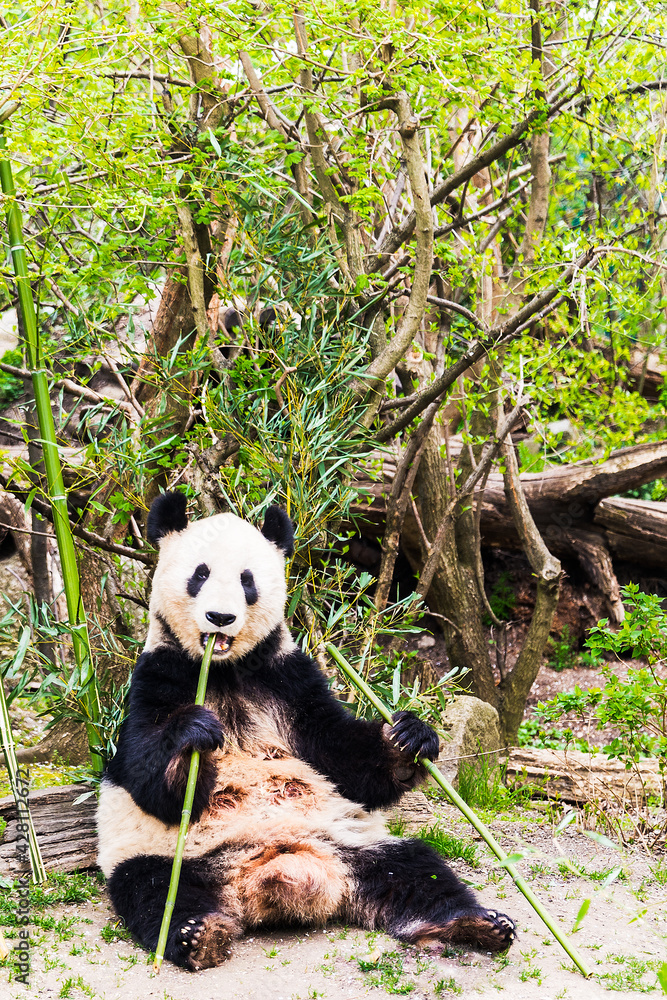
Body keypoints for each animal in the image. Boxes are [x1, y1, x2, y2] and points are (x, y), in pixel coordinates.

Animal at [96, 492, 516, 970]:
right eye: (199, 574)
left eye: (247, 581)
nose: (220, 617)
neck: (222, 671)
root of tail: (273, 874)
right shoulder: (158, 677)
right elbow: (147, 774)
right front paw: (194, 733)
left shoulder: (288, 680)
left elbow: (343, 756)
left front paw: (408, 738)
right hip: (170, 855)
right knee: (155, 889)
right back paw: (198, 935)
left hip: (354, 845)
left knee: (418, 869)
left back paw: (475, 924)